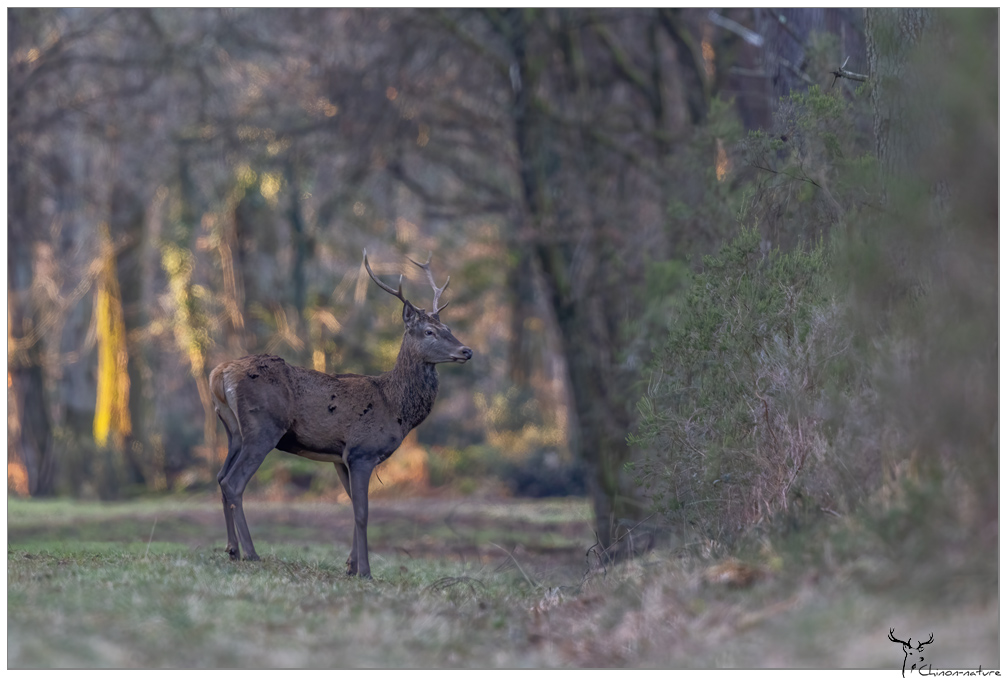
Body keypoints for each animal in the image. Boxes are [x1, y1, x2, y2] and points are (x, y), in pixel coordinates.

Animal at [209, 250, 472, 578]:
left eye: (449, 329)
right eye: (429, 332)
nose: (467, 351)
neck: (395, 406)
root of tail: (220, 373)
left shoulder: (340, 457)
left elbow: (351, 504)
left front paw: (350, 565)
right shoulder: (362, 451)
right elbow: (363, 512)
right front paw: (365, 572)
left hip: (233, 430)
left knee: (220, 477)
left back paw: (232, 550)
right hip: (263, 427)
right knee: (234, 482)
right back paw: (252, 554)